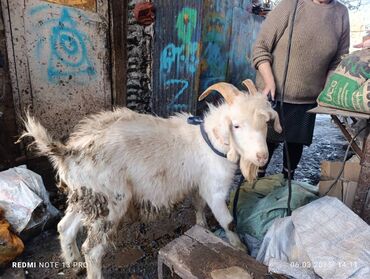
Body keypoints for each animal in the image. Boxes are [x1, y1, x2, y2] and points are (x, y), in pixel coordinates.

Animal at [20, 81, 280, 279]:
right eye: (236, 125)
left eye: (265, 123)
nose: (263, 156)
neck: (209, 141)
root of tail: (69, 151)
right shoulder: (215, 189)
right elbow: (229, 222)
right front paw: (240, 248)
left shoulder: (198, 184)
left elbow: (198, 206)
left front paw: (202, 228)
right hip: (111, 202)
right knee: (92, 250)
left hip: (85, 197)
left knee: (64, 228)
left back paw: (73, 264)